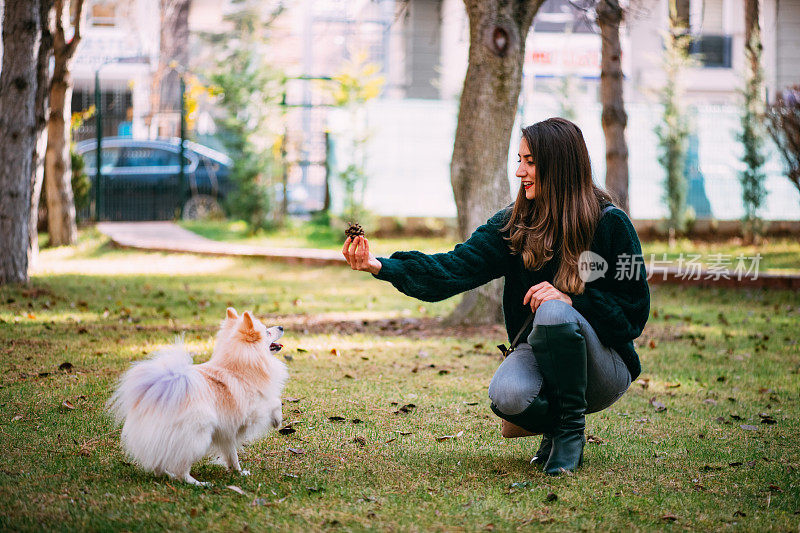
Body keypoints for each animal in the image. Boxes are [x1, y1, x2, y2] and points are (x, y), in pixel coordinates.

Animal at [106, 308, 288, 486]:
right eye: (267, 332)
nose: (281, 326)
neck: (239, 367)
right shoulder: (252, 410)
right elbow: (274, 402)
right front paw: (277, 420)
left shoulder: (226, 433)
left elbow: (232, 456)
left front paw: (238, 472)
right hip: (198, 437)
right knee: (181, 469)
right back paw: (198, 483)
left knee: (159, 464)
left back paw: (168, 476)